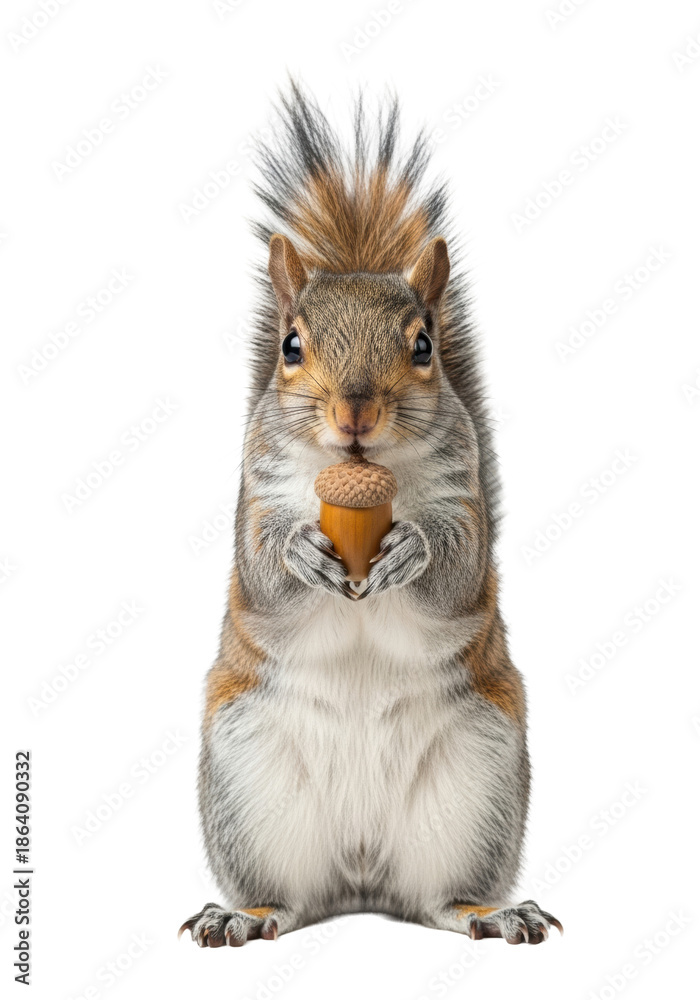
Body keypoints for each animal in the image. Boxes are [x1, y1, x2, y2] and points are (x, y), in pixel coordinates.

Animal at [179, 84, 562, 948]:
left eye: (423, 344)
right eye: (291, 345)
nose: (355, 413)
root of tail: (360, 875)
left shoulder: (464, 496)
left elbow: (459, 566)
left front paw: (411, 550)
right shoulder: (254, 493)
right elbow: (260, 566)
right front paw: (302, 552)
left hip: (479, 781)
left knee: (442, 899)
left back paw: (494, 912)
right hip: (248, 779)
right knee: (287, 898)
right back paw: (245, 915)